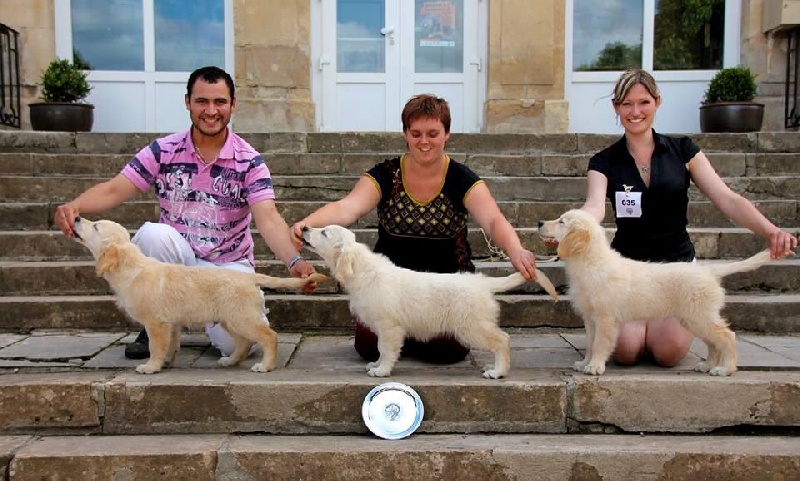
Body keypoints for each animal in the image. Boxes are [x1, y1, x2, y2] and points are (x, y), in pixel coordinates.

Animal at [72, 217, 329, 374]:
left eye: (95, 226)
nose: (75, 218)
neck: (132, 267)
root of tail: (249, 277)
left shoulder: (156, 323)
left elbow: (156, 346)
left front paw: (151, 366)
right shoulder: (171, 323)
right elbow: (170, 344)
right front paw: (166, 362)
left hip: (241, 318)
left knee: (268, 336)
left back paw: (264, 365)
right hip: (230, 319)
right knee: (244, 342)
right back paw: (230, 360)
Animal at [301, 224, 558, 379]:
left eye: (324, 233)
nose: (304, 227)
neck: (361, 270)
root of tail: (481, 283)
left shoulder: (389, 326)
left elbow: (385, 349)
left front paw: (382, 370)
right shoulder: (383, 327)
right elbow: (380, 349)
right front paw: (376, 365)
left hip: (470, 326)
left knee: (502, 340)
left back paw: (497, 372)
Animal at [537, 209, 784, 377]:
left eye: (561, 221)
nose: (539, 222)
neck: (590, 263)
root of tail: (708, 270)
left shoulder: (605, 318)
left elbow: (599, 344)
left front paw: (595, 367)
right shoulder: (590, 318)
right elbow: (590, 343)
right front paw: (584, 363)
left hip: (699, 316)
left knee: (726, 336)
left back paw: (725, 369)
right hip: (693, 319)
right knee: (713, 342)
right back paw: (707, 365)